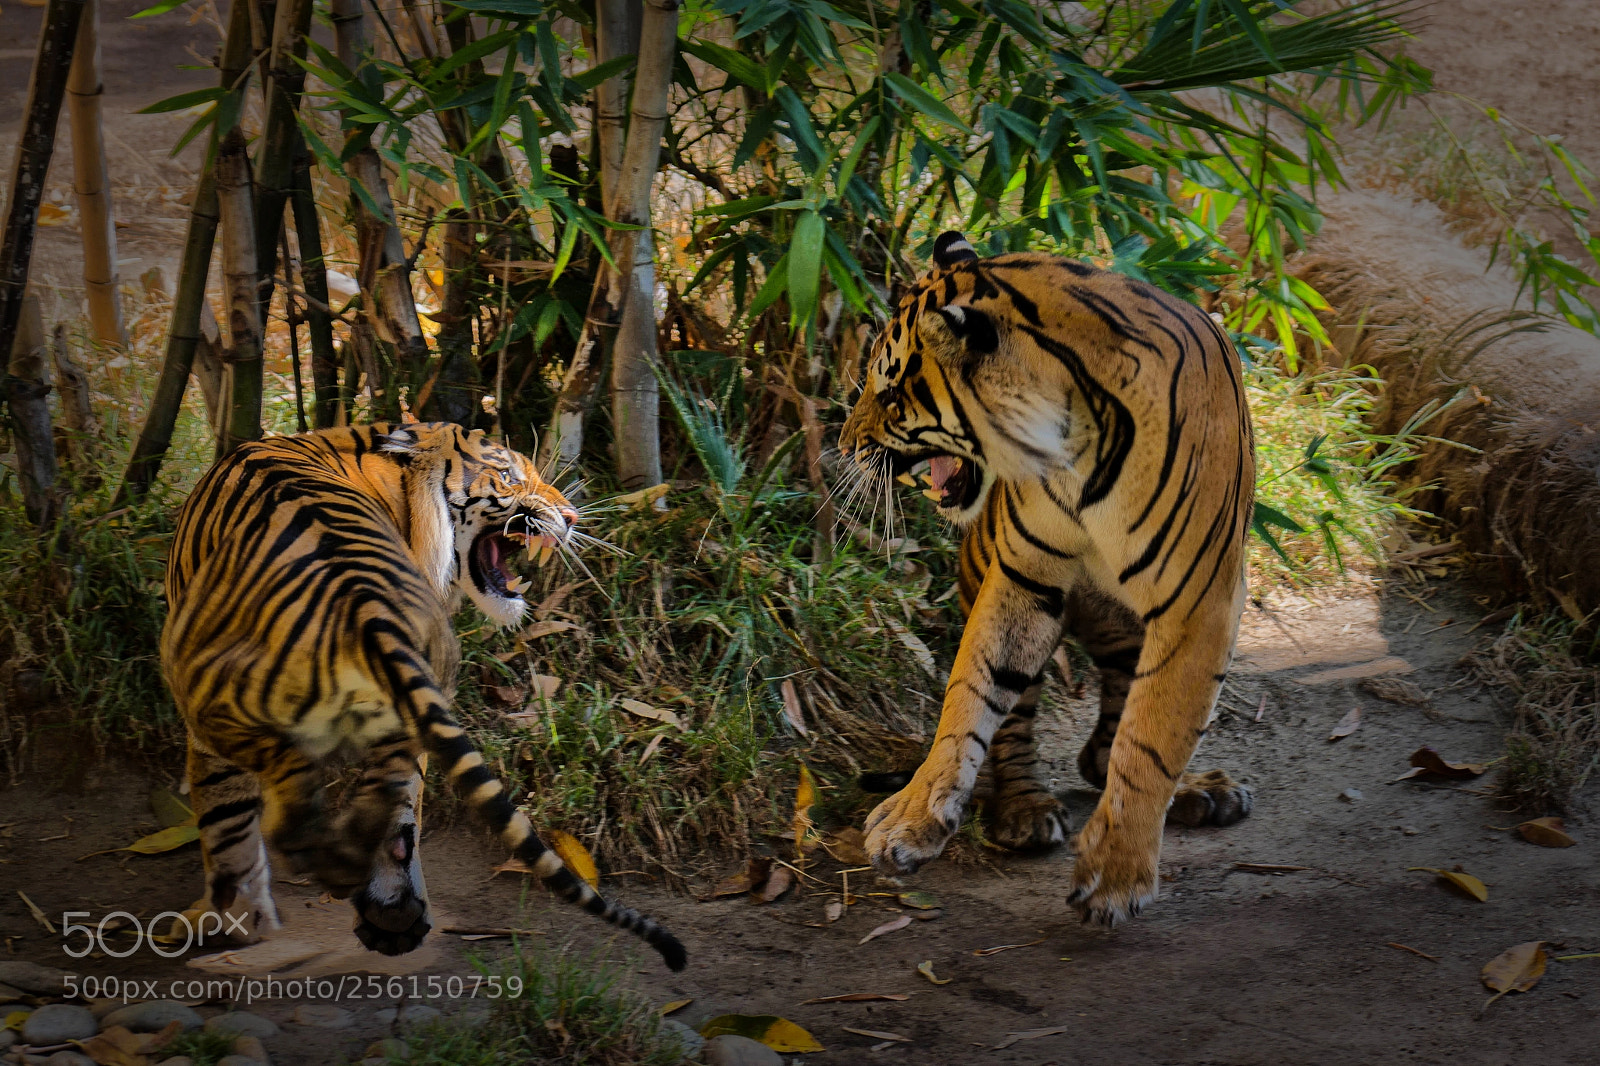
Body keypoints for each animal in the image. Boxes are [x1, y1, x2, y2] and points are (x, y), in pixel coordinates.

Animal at [161, 421, 685, 970]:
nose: (571, 517)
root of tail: (362, 598)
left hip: (201, 689)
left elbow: (224, 816)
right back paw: (385, 900)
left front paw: (225, 919)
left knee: (285, 772)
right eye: (507, 476)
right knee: (393, 798)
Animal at [839, 231, 1256, 927]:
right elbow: (971, 692)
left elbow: (1152, 737)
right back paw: (1025, 810)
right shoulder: (1023, 575)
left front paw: (1117, 873)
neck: (1075, 439)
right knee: (1025, 722)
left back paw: (1201, 792)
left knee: (1110, 744)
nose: (844, 446)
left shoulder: (1199, 604)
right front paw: (910, 818)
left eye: (893, 392)